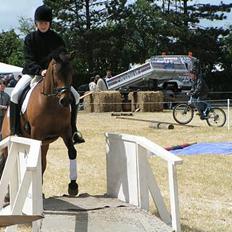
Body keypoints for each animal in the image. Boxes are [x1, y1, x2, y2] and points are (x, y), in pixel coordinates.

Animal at [0, 49, 79, 196]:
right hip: (9, 140)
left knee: (42, 161)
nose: (65, 101)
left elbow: (72, 152)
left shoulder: (66, 131)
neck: (52, 103)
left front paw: (73, 186)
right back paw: (8, 194)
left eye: (71, 71)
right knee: (7, 159)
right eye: (55, 73)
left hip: (44, 144)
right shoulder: (37, 134)